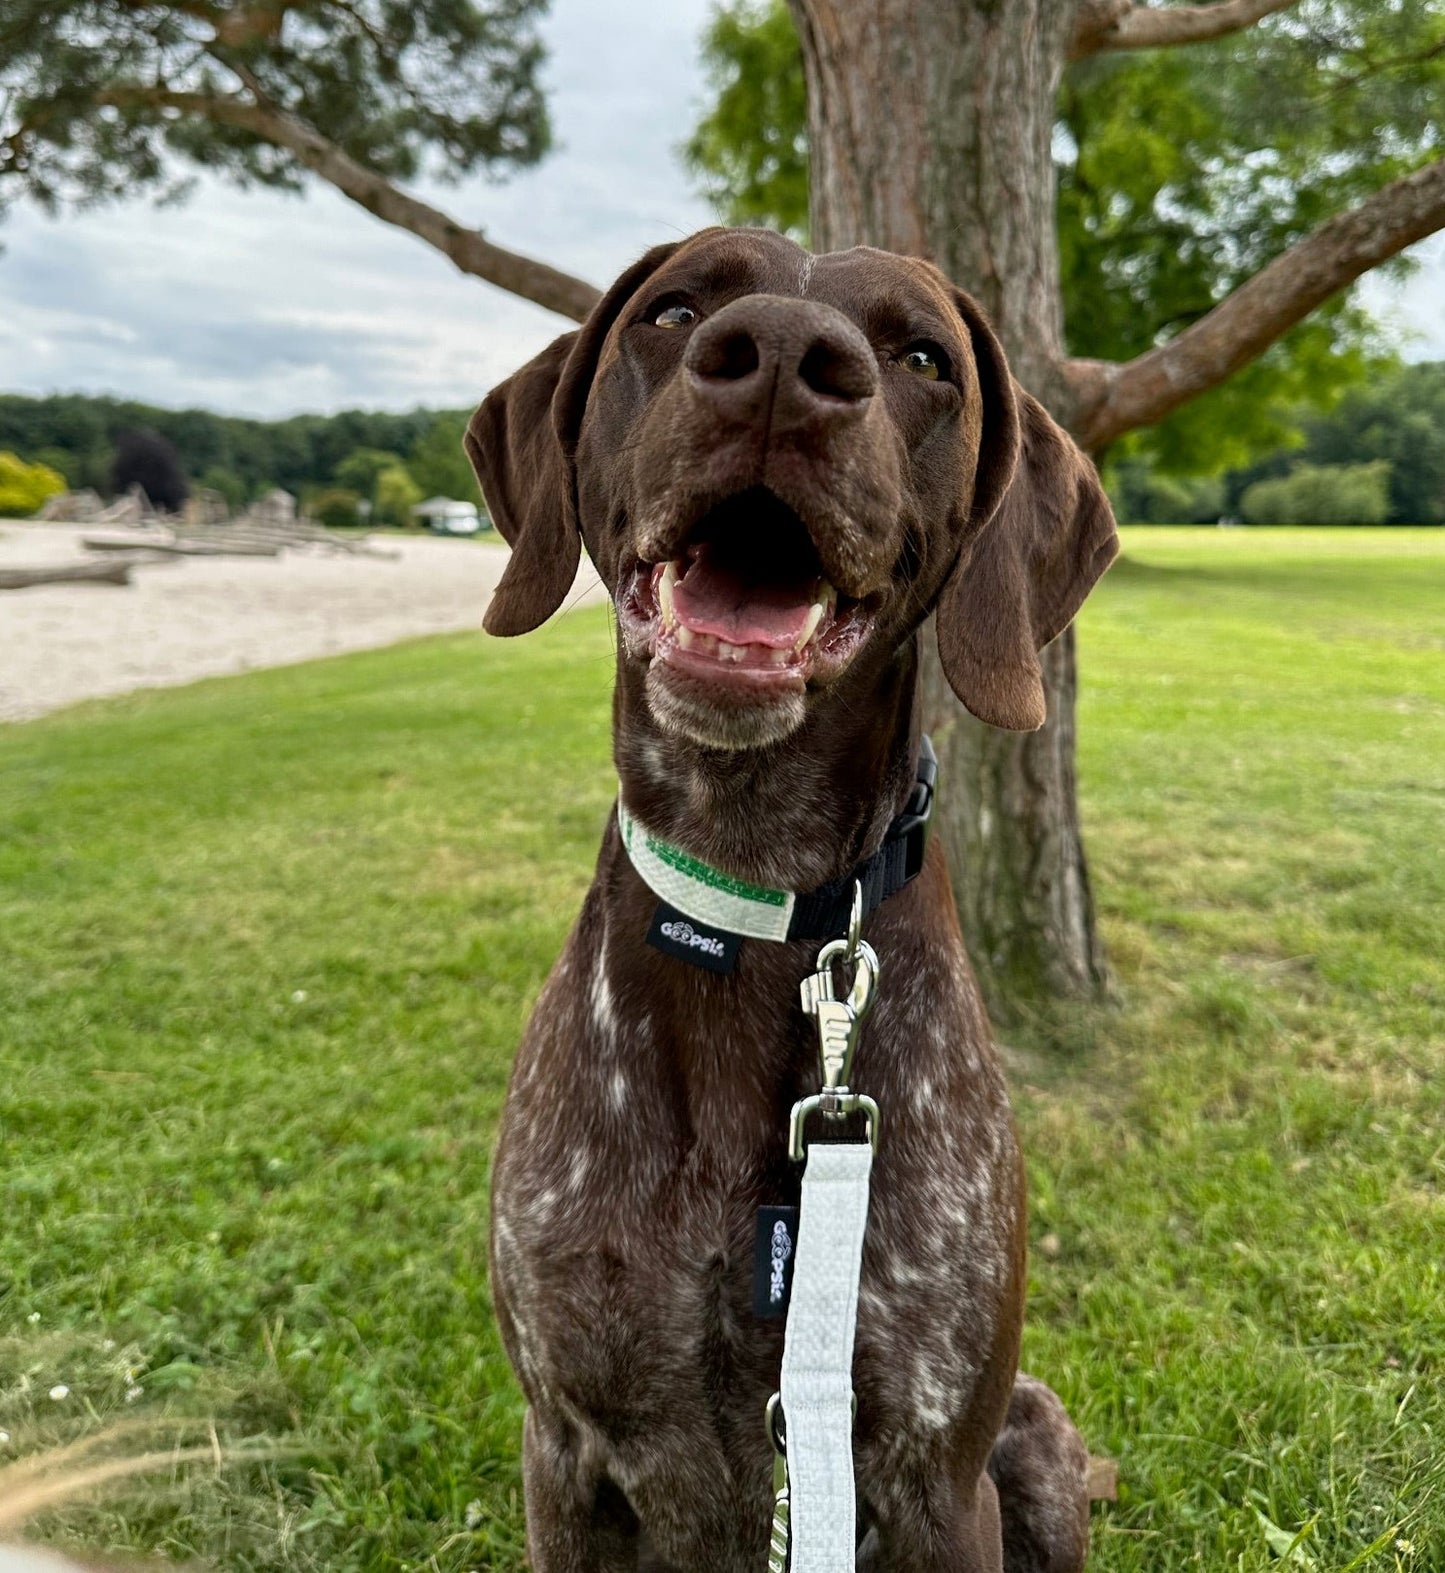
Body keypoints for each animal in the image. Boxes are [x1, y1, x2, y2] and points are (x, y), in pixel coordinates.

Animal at [468, 229, 1125, 1573]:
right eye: (674, 311)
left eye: (921, 356)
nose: (777, 356)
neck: (753, 876)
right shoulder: (560, 1448)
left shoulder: (933, 1472)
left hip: (1033, 1432)